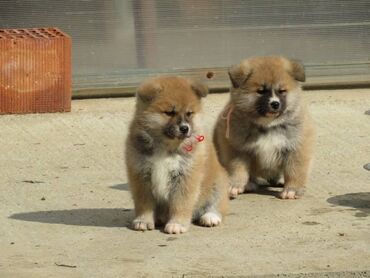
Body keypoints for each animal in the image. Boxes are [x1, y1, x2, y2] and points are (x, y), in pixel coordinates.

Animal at [125, 75, 228, 233]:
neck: (165, 147)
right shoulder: (141, 176)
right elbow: (144, 203)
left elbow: (181, 204)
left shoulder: (185, 177)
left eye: (189, 113)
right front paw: (143, 221)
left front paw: (177, 224)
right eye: (169, 113)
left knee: (217, 205)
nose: (185, 128)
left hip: (218, 184)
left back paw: (210, 217)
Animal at [214, 56, 316, 200]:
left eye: (282, 91)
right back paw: (250, 184)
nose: (275, 104)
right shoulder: (236, 149)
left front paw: (292, 189)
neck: (268, 125)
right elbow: (237, 169)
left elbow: (295, 170)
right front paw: (235, 185)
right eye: (261, 91)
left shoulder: (296, 147)